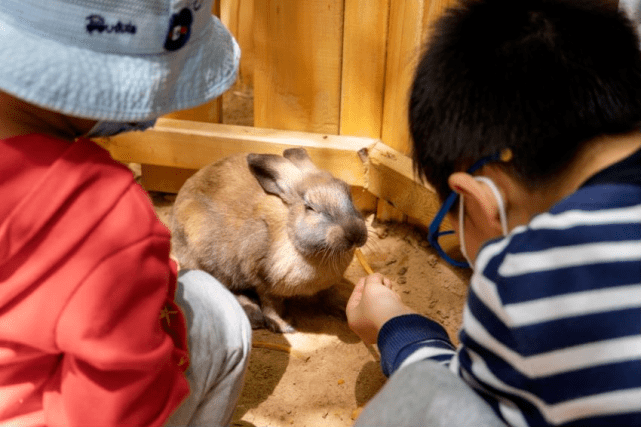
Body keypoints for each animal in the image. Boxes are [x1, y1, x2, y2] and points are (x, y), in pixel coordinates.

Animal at [170, 148, 368, 334]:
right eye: (310, 207)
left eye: (348, 194)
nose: (355, 234)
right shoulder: (262, 280)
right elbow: (271, 305)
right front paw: (283, 325)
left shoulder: (327, 285)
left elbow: (329, 294)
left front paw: (343, 308)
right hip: (210, 261)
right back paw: (254, 316)